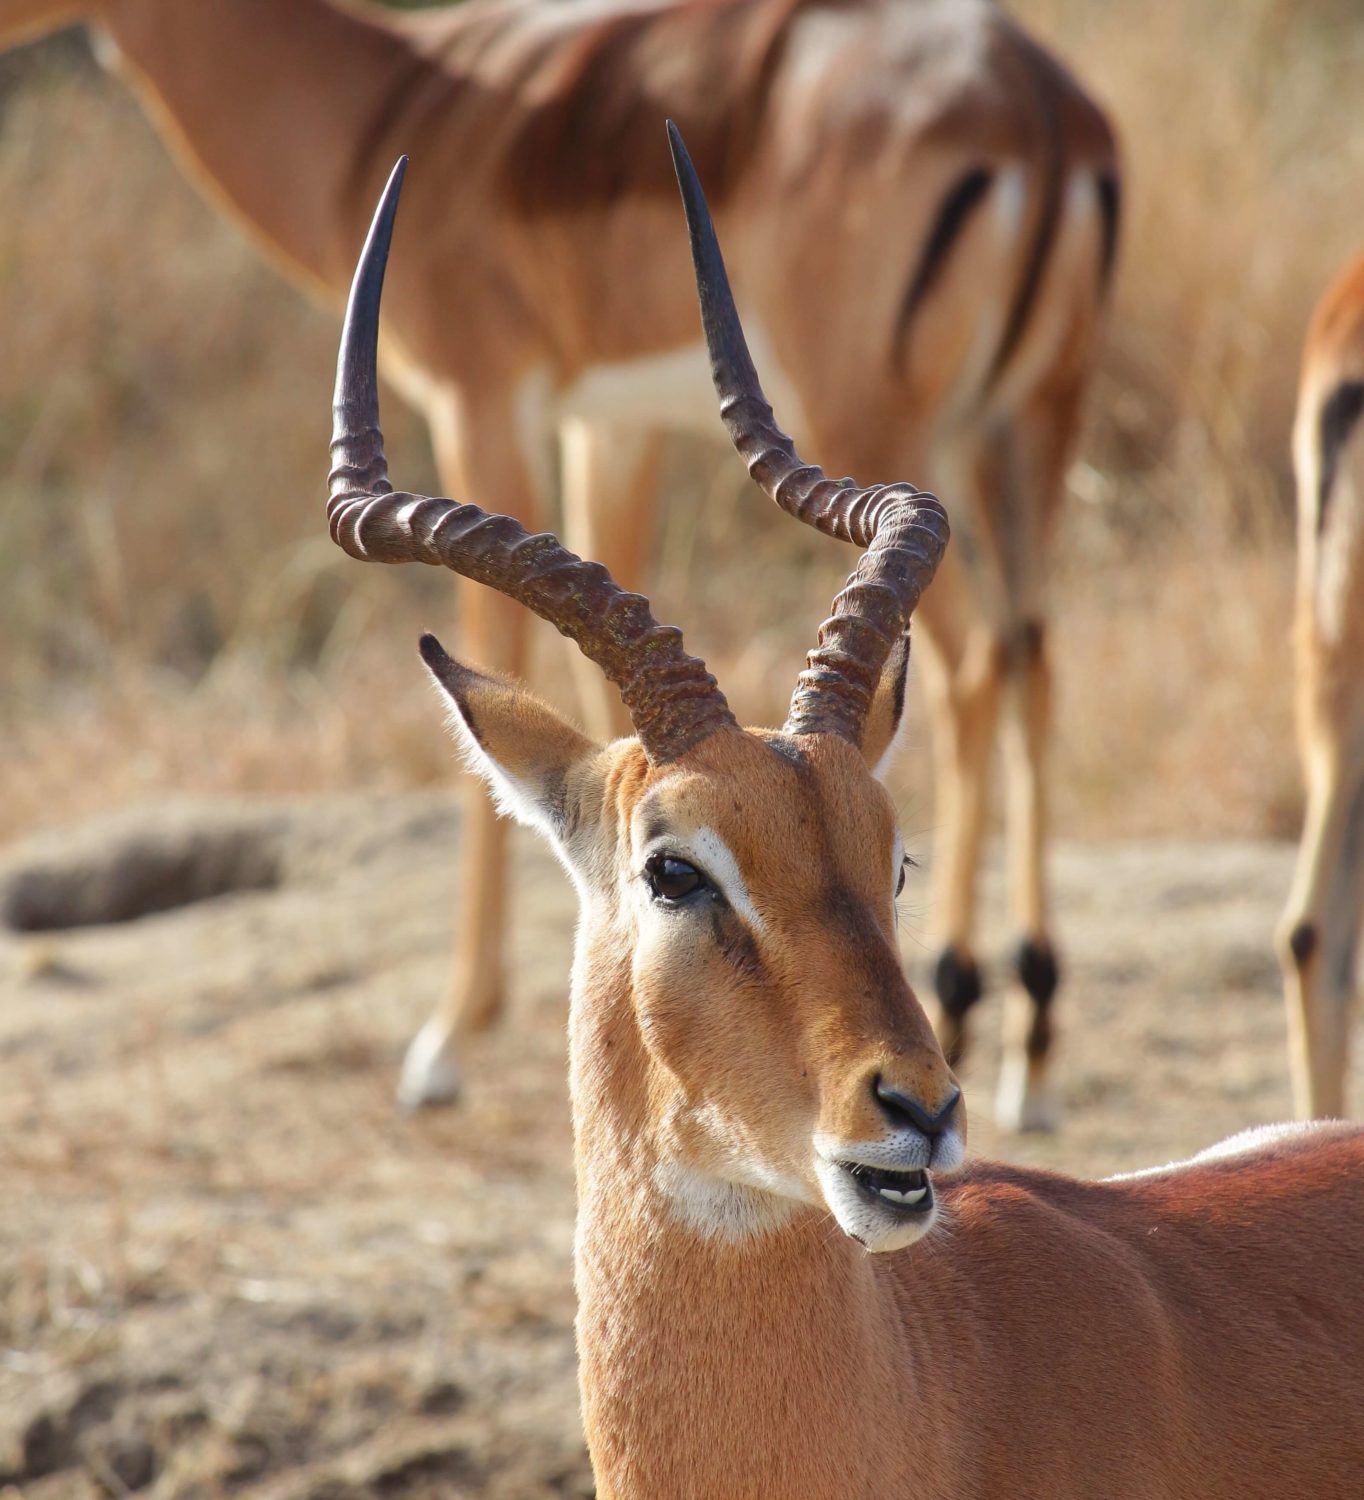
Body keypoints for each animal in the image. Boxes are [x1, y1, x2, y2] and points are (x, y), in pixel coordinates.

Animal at [2, 0, 1120, 1125]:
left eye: (894, 860)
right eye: (675, 871)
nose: (914, 1107)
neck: (408, 102)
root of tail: (1033, 97)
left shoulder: (483, 400)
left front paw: (444, 1043)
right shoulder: (610, 428)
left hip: (884, 418)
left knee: (976, 662)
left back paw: (969, 1007)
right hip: (1025, 428)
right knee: (1032, 651)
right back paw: (1029, 1043)